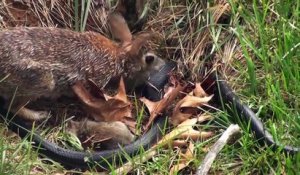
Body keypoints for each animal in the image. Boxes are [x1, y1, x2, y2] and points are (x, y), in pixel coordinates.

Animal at [0, 10, 164, 121]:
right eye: (150, 59)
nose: (163, 65)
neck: (119, 59)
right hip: (42, 81)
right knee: (12, 107)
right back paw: (40, 115)